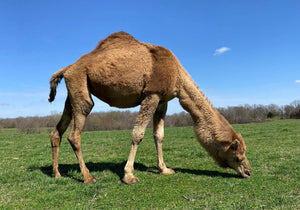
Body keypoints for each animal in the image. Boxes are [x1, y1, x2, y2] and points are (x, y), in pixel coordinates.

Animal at [48, 31, 251, 184]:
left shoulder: (163, 100)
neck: (178, 77)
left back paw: (57, 174)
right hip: (80, 85)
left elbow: (159, 135)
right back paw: (88, 177)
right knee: (75, 133)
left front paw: (164, 169)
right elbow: (138, 134)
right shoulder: (151, 94)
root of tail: (68, 68)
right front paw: (129, 175)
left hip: (73, 92)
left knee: (57, 131)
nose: (248, 171)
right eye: (237, 155)